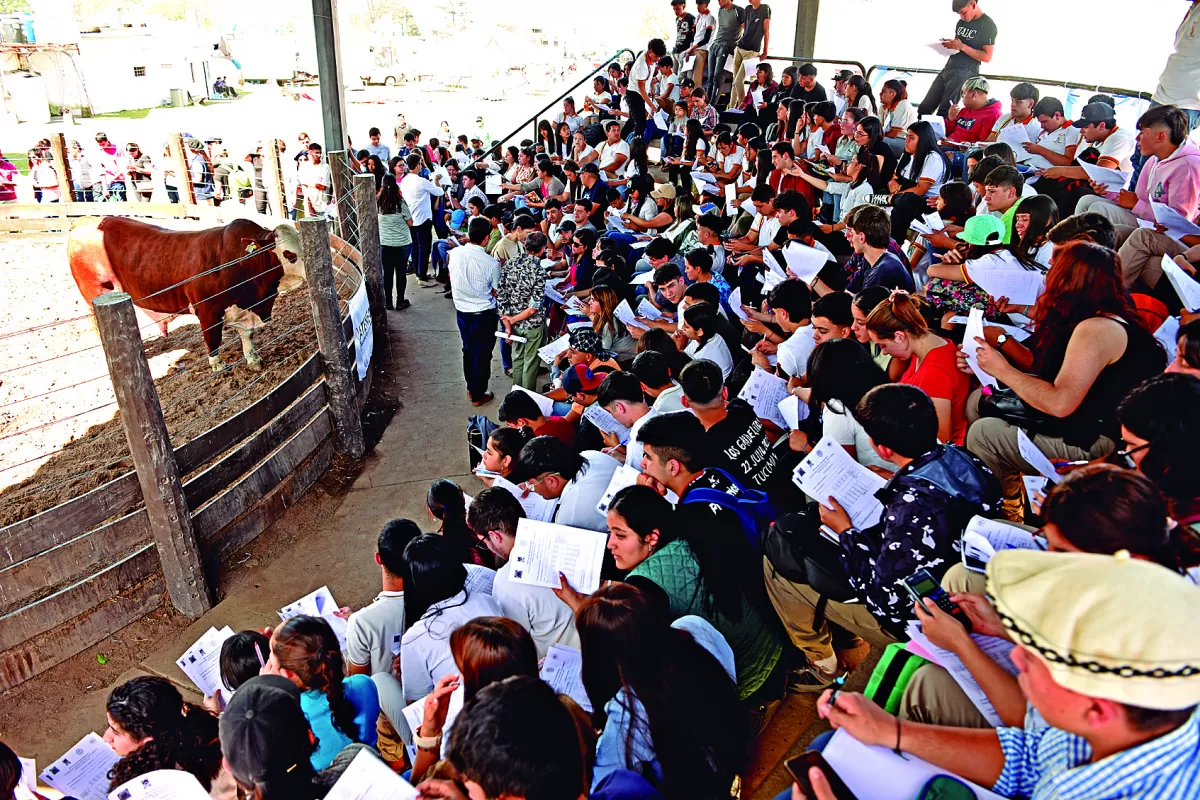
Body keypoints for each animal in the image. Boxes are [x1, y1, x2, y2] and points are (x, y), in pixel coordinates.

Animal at [66, 217, 304, 371]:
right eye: (288, 253)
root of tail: (83, 223)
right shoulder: (208, 311)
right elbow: (213, 339)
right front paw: (218, 366)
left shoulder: (243, 308)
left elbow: (247, 334)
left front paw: (253, 359)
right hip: (95, 295)